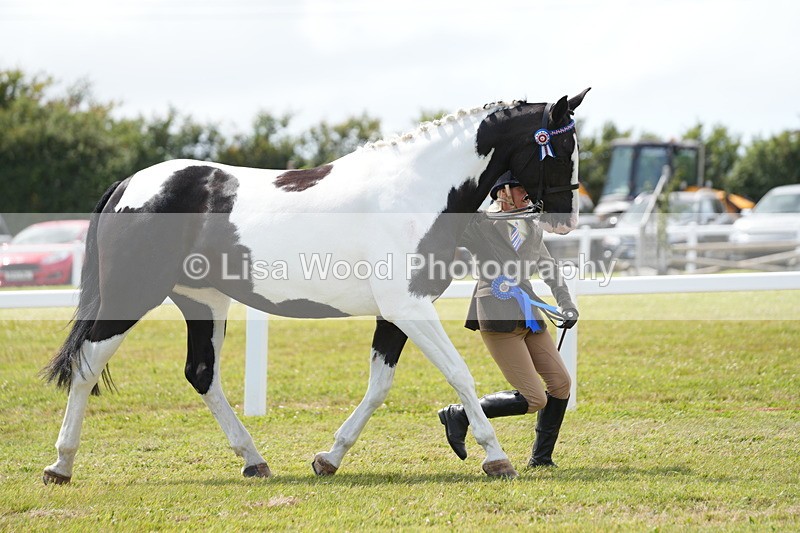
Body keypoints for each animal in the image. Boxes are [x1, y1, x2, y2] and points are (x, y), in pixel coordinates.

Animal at [41, 89, 590, 484]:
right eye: (560, 145)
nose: (565, 220)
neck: (414, 191)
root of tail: (130, 185)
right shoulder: (409, 307)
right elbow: (460, 374)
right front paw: (496, 458)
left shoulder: (395, 313)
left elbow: (378, 386)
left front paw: (329, 457)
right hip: (133, 295)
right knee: (87, 364)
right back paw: (61, 465)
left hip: (202, 301)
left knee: (202, 374)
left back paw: (253, 460)